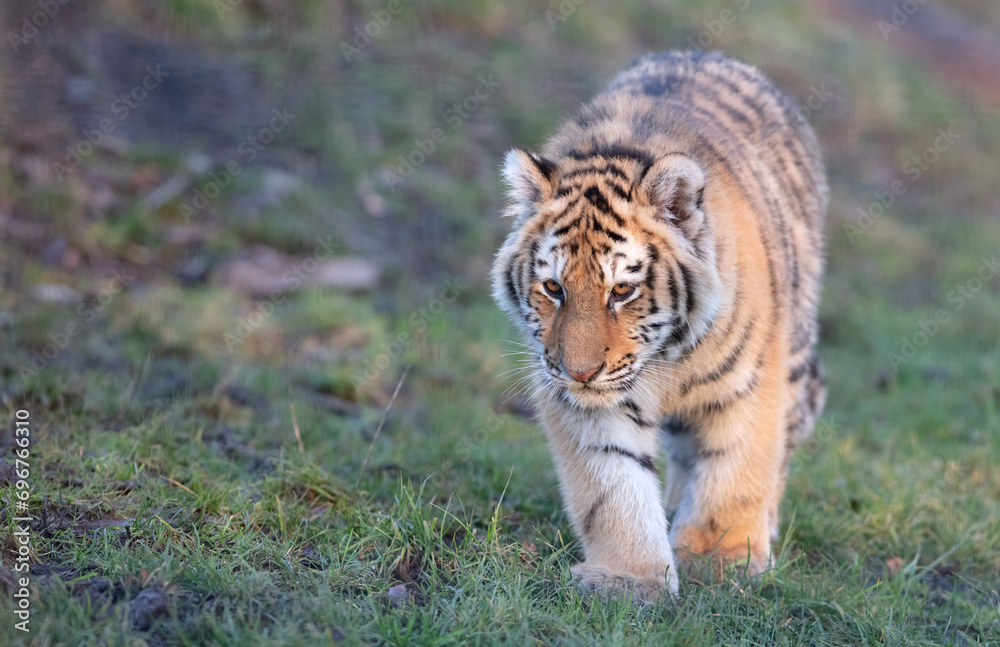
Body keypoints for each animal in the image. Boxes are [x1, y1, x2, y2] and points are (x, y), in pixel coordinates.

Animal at [491, 50, 827, 601]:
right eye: (555, 288)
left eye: (621, 291)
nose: (579, 372)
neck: (668, 354)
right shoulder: (589, 406)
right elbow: (613, 486)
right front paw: (632, 579)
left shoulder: (750, 382)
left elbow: (737, 467)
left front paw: (720, 561)